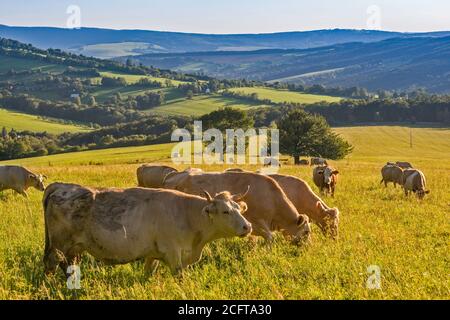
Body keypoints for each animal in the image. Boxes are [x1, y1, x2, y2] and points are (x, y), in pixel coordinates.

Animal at [42, 184, 253, 276]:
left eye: (239, 208)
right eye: (225, 211)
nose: (247, 226)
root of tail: (62, 186)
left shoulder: (154, 254)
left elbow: (148, 273)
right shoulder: (173, 253)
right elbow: (179, 277)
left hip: (74, 248)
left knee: (69, 265)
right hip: (59, 245)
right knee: (51, 265)